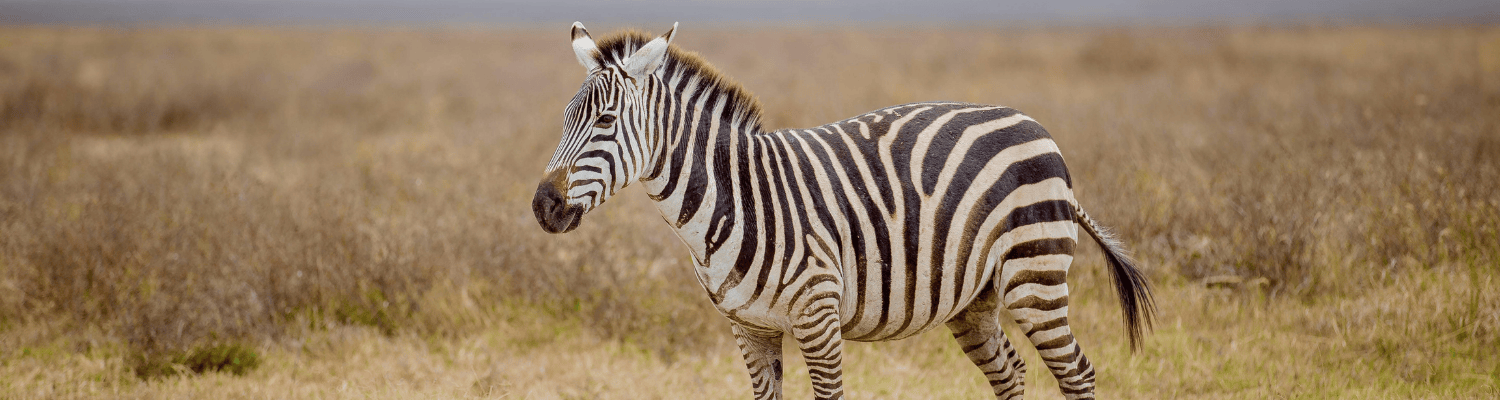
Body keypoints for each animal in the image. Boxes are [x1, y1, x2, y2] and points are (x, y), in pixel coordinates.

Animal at [532, 22, 1154, 400]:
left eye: (605, 122)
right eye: (563, 119)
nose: (543, 206)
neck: (732, 198)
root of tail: (1032, 123)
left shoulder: (819, 319)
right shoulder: (749, 330)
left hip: (1036, 279)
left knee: (1078, 374)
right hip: (974, 301)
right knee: (1013, 373)